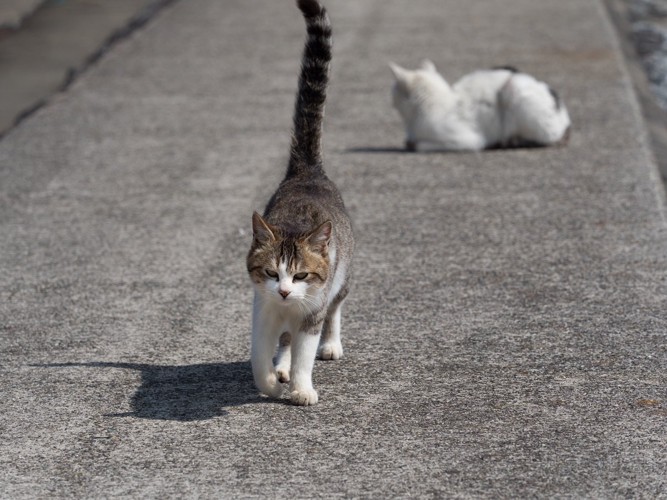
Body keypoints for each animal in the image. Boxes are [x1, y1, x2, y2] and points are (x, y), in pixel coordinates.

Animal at [247, 0, 354, 406]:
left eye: (301, 275)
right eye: (271, 273)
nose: (285, 290)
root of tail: (307, 170)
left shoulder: (311, 310)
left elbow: (305, 352)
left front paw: (301, 388)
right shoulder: (262, 308)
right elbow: (260, 353)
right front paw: (269, 380)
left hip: (342, 278)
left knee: (335, 309)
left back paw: (331, 344)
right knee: (285, 341)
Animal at [388, 60, 572, 151]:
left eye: (394, 90)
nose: (390, 101)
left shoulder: (468, 140)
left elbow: (419, 146)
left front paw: (413, 144)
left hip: (514, 90)